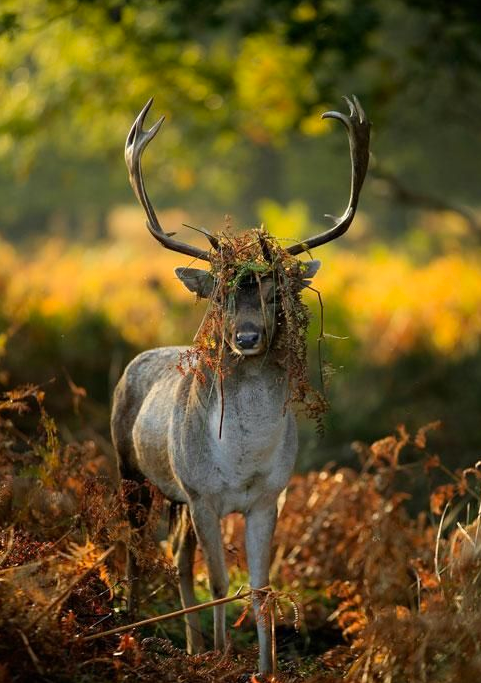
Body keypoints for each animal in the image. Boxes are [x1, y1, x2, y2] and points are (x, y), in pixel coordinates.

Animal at [110, 93, 370, 676]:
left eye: (274, 295)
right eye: (221, 295)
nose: (246, 337)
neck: (241, 460)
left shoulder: (268, 496)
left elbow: (259, 587)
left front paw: (262, 668)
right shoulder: (205, 494)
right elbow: (220, 582)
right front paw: (224, 660)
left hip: (177, 497)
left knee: (177, 558)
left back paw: (189, 646)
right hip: (129, 467)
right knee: (136, 550)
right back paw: (130, 628)